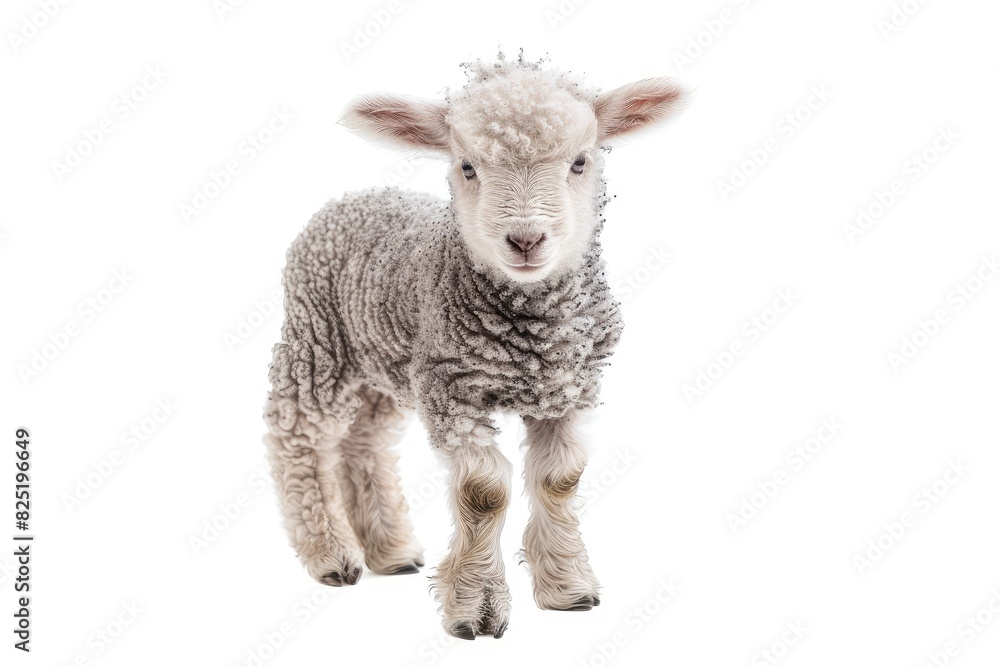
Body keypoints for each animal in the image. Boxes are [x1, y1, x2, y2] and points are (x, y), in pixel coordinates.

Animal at [262, 53, 688, 639]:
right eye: (467, 167)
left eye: (580, 162)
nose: (525, 240)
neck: (530, 331)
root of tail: (356, 197)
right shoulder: (453, 390)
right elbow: (483, 494)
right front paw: (477, 607)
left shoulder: (568, 389)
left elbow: (560, 480)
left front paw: (567, 588)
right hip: (316, 339)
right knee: (297, 435)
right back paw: (330, 553)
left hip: (387, 367)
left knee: (364, 444)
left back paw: (391, 550)